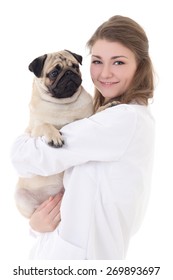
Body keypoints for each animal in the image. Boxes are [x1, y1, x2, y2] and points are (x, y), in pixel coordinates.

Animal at [14, 49, 93, 218]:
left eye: (75, 66)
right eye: (54, 73)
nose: (69, 73)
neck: (63, 104)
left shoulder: (90, 116)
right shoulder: (34, 130)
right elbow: (46, 124)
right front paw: (55, 137)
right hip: (21, 197)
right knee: (33, 214)